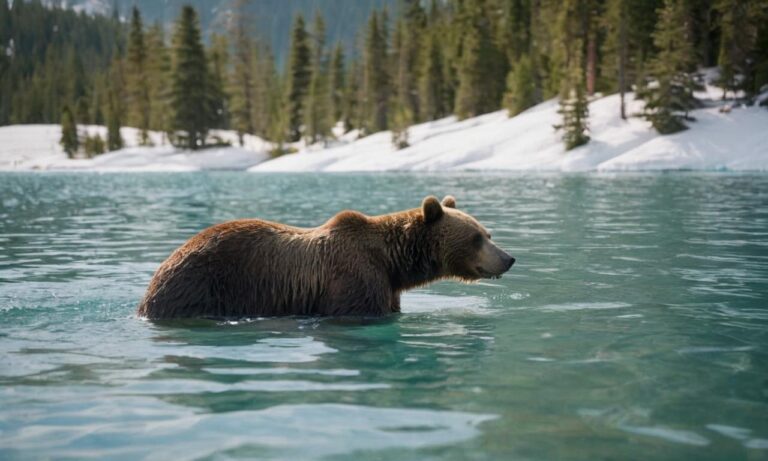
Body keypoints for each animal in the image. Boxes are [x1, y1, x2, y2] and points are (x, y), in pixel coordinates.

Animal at [136, 195, 516, 320]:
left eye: (488, 233)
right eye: (476, 237)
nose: (509, 258)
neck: (392, 261)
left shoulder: (387, 287)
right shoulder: (354, 278)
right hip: (202, 285)